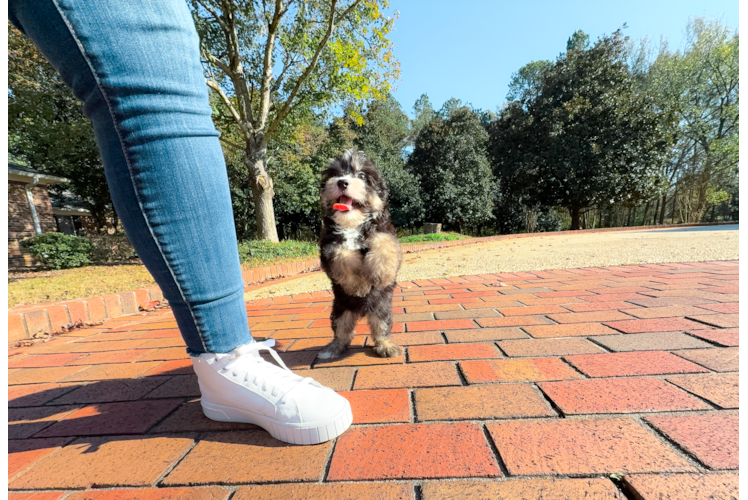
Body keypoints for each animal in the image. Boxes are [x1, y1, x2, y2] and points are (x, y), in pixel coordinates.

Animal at [318, 149, 404, 360]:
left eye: (363, 176)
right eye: (335, 174)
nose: (342, 182)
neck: (351, 224)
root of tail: (362, 312)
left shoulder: (385, 231)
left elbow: (384, 243)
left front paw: (380, 274)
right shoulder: (329, 246)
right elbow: (343, 255)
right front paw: (359, 286)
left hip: (382, 309)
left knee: (381, 329)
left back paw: (386, 346)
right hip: (340, 310)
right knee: (342, 333)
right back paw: (332, 349)